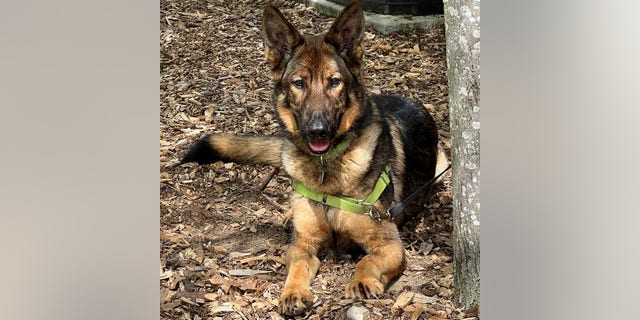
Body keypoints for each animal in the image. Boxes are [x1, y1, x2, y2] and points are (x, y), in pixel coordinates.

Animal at [182, 1, 448, 316]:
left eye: (334, 82)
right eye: (299, 84)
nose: (317, 130)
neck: (325, 172)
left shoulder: (389, 243)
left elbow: (367, 260)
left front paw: (362, 280)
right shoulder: (303, 244)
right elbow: (296, 266)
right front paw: (293, 292)